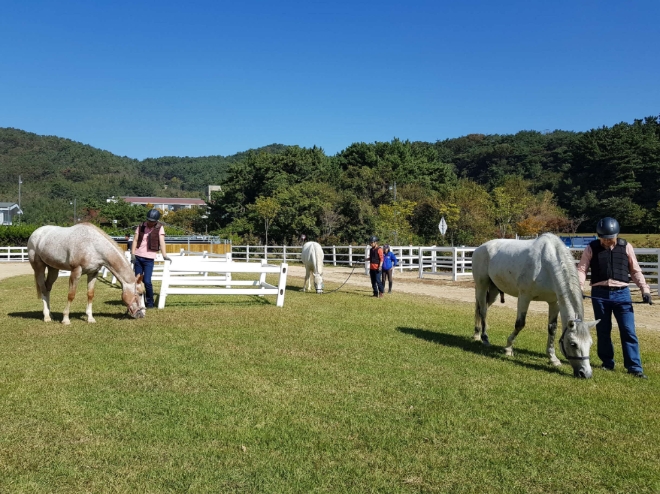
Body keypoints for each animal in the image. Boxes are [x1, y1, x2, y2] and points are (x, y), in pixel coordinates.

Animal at [472, 233, 596, 376]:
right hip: (482, 286)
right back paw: (484, 338)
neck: (546, 264)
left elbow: (552, 329)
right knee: (483, 311)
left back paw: (477, 334)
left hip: (494, 290)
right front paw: (508, 348)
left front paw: (553, 358)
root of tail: (480, 248)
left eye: (590, 344)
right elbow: (520, 324)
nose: (585, 373)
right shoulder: (524, 297)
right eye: (573, 344)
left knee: (482, 309)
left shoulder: (554, 302)